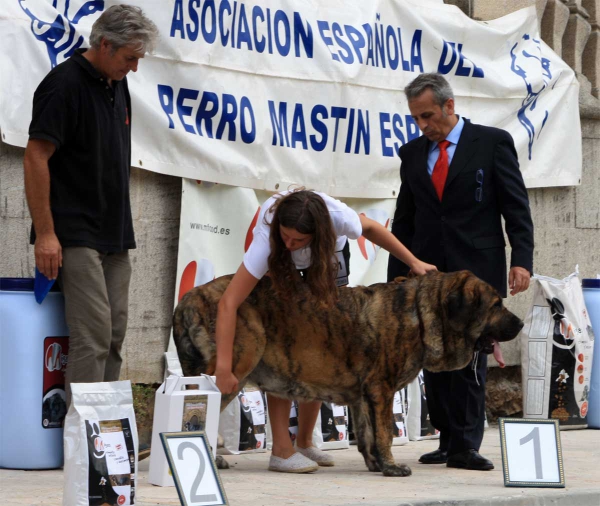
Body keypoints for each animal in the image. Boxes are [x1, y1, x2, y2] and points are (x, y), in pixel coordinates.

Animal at [172, 270, 520, 476]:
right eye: (496, 305)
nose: (519, 323)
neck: (422, 315)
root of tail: (187, 299)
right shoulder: (382, 389)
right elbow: (384, 433)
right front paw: (392, 467)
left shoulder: (364, 394)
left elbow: (367, 434)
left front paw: (376, 464)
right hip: (233, 369)